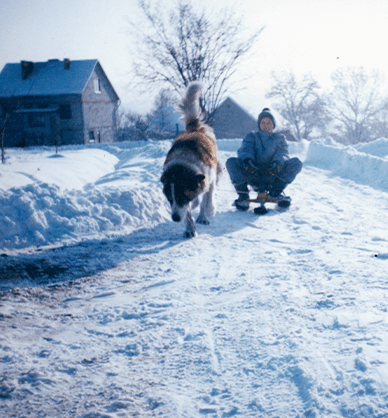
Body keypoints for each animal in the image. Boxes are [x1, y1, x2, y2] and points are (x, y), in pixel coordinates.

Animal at [161, 82, 221, 238]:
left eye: (181, 198)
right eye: (170, 199)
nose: (175, 218)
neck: (183, 165)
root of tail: (195, 130)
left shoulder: (209, 176)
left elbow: (207, 199)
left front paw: (208, 212)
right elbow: (188, 211)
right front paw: (189, 229)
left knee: (205, 197)